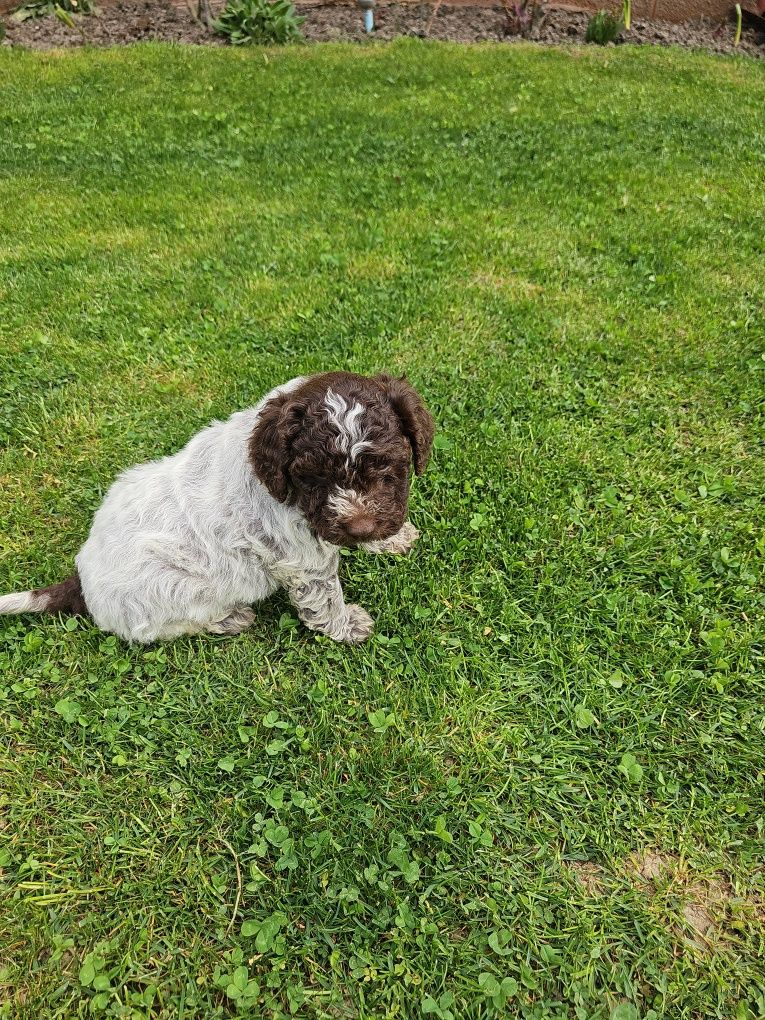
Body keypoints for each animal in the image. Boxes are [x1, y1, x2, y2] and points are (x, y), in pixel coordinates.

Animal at [0, 373, 434, 644]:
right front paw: (346, 626)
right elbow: (324, 597)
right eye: (314, 478)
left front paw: (388, 538)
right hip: (168, 594)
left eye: (388, 466)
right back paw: (230, 618)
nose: (359, 527)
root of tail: (80, 579)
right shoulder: (301, 558)